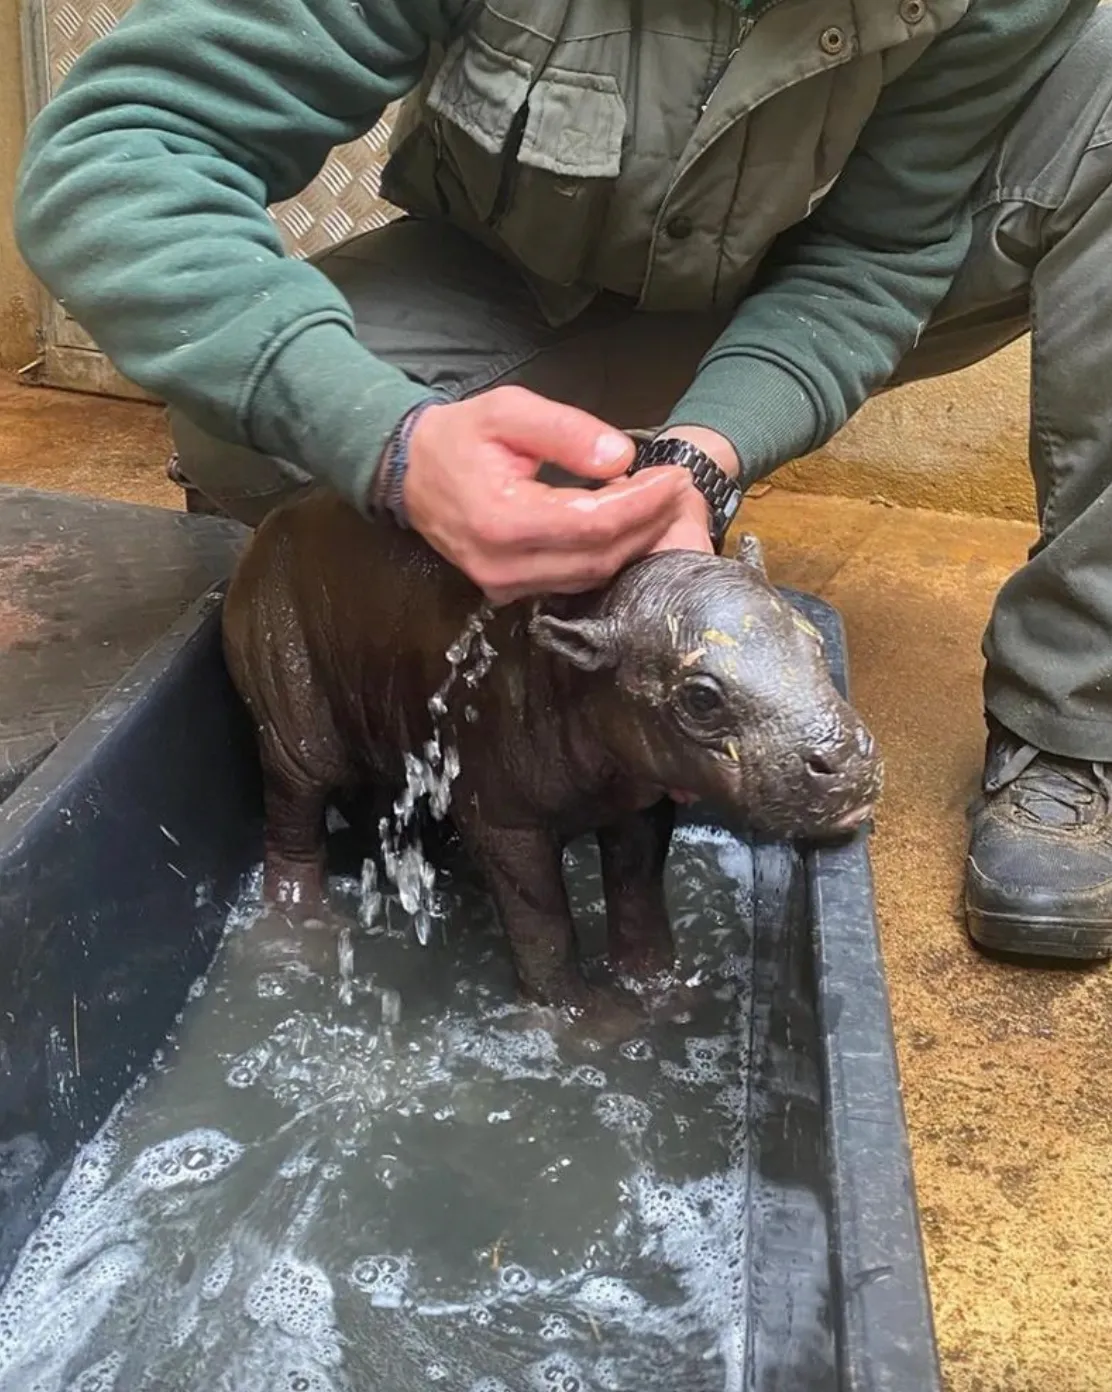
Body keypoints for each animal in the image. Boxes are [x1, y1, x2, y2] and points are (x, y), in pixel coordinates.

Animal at [221, 489, 885, 1024]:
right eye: (700, 698)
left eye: (812, 639)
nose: (844, 756)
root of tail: (263, 531)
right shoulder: (506, 819)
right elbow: (541, 918)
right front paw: (591, 1027)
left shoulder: (638, 798)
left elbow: (639, 894)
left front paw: (665, 999)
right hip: (291, 715)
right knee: (292, 821)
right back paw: (299, 934)